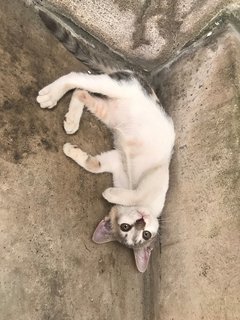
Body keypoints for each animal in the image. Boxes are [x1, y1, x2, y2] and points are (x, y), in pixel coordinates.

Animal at [37, 10, 174, 272]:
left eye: (145, 236)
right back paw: (52, 94)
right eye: (126, 228)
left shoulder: (116, 160)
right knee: (77, 78)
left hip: (108, 111)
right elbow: (135, 193)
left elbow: (94, 165)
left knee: (81, 93)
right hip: (119, 87)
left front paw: (73, 153)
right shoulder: (157, 176)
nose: (142, 222)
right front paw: (113, 193)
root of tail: (138, 77)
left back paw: (71, 119)